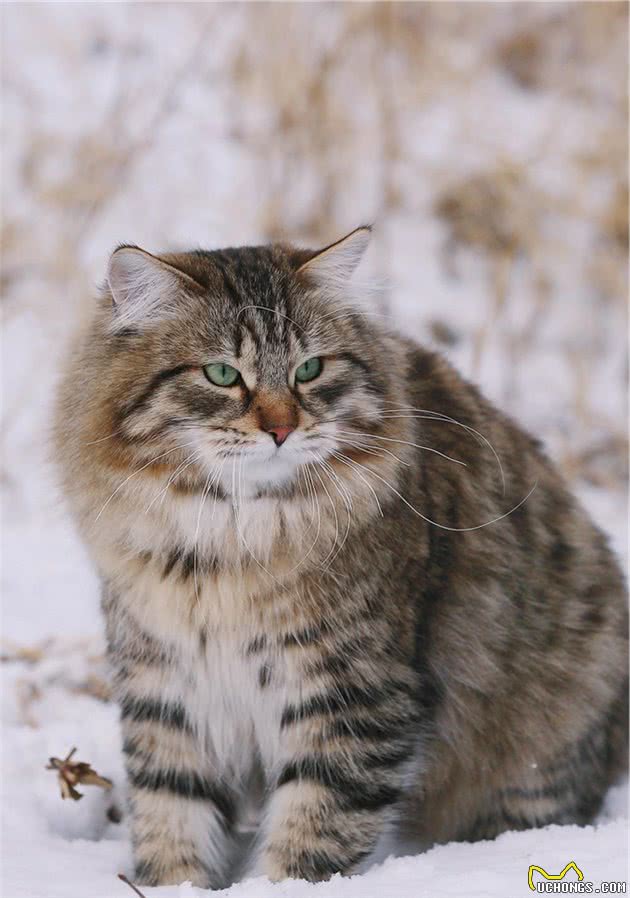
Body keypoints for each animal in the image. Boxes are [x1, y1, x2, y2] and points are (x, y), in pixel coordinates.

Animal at [51, 228, 628, 884]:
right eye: (222, 374)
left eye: (311, 369)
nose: (280, 429)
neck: (225, 549)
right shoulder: (166, 689)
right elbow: (171, 816)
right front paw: (172, 887)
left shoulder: (352, 698)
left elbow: (311, 838)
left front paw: (271, 887)